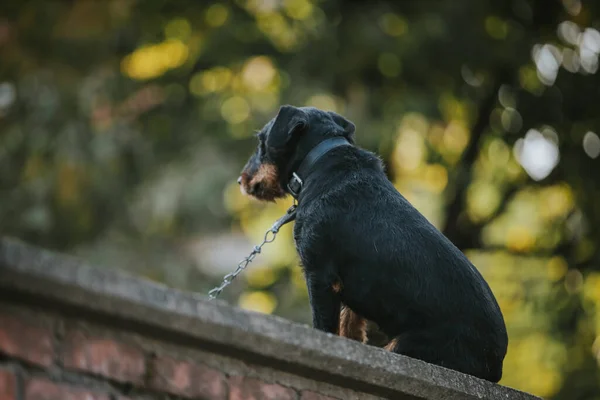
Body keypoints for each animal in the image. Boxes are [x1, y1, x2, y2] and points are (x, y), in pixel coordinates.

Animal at [238, 104, 506, 380]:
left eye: (261, 142)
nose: (241, 180)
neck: (319, 163)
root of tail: (496, 364)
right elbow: (349, 327)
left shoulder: (319, 275)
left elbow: (325, 327)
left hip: (408, 345)